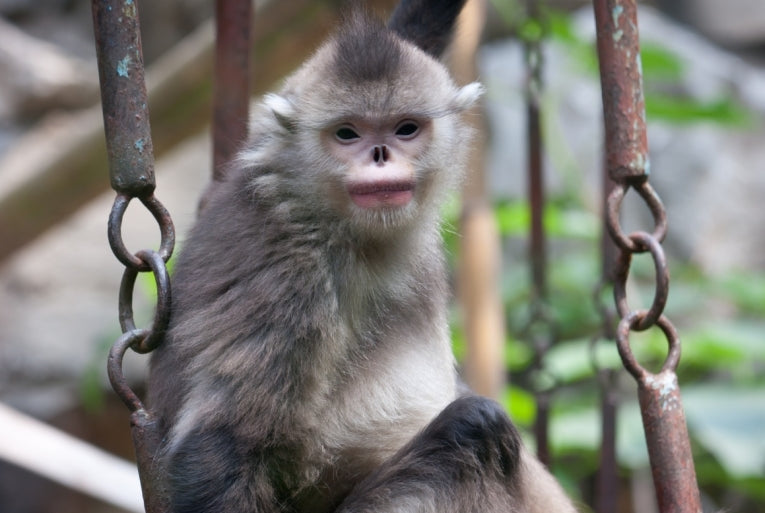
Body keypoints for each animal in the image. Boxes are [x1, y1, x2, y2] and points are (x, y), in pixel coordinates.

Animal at [147, 1, 578, 512]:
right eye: (347, 134)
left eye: (405, 128)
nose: (379, 154)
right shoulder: (291, 270)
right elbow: (226, 441)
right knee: (477, 427)